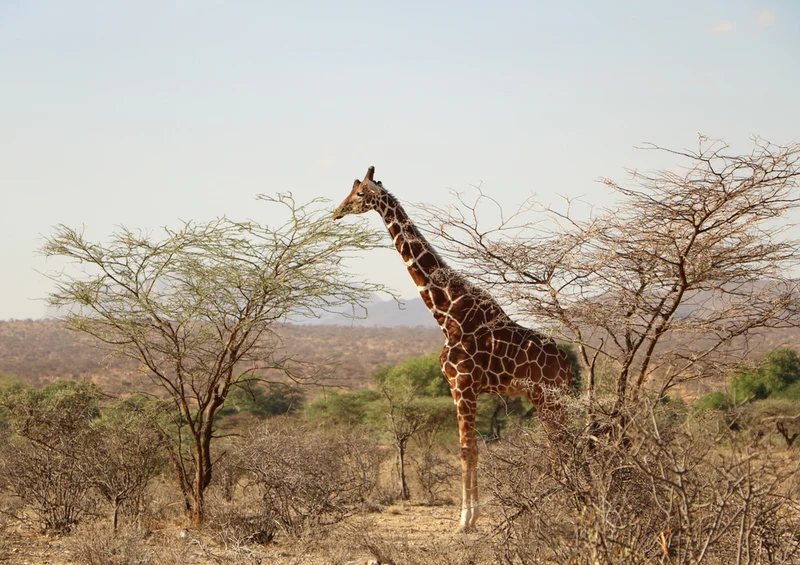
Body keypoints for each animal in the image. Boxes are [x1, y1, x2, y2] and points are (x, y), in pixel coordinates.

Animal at [333, 166, 573, 532]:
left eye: (360, 193)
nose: (337, 211)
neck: (446, 311)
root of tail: (568, 363)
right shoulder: (459, 387)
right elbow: (472, 447)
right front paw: (472, 515)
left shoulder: (462, 385)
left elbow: (465, 449)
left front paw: (465, 520)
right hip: (543, 396)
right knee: (559, 442)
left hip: (549, 395)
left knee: (560, 442)